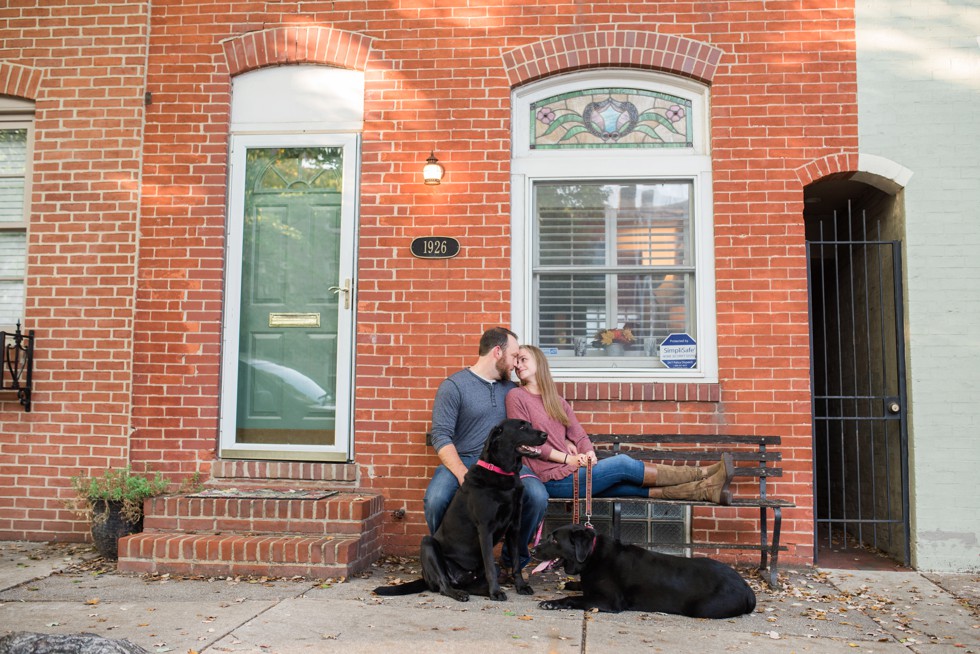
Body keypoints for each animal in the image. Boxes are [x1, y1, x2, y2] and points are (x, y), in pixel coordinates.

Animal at [372, 420, 548, 604]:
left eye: (530, 425)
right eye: (521, 427)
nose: (545, 435)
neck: (502, 472)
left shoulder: (514, 528)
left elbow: (515, 562)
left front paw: (520, 586)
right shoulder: (485, 528)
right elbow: (490, 566)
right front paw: (496, 592)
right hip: (428, 544)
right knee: (443, 584)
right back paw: (459, 593)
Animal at [532, 524, 756, 620]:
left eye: (554, 540)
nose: (532, 549)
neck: (591, 556)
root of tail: (747, 588)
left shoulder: (608, 601)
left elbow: (575, 598)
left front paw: (552, 603)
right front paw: (569, 583)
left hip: (703, 608)